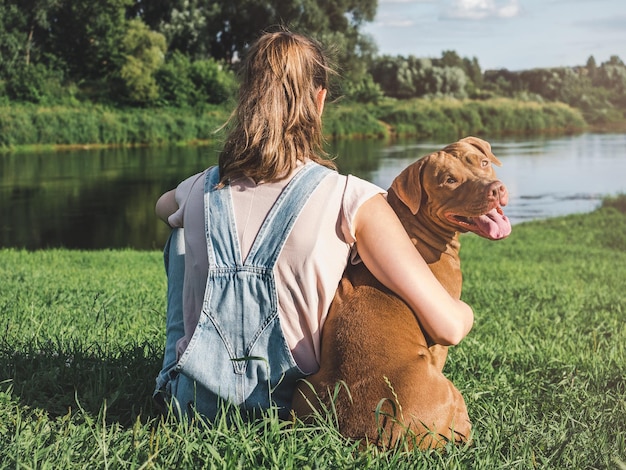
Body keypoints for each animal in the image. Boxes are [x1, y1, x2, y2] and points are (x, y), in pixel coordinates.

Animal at [290, 136, 510, 448]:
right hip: (449, 393)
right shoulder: (440, 337)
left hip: (305, 389)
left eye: (483, 162)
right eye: (449, 180)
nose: (496, 189)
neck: (412, 226)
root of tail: (374, 434)